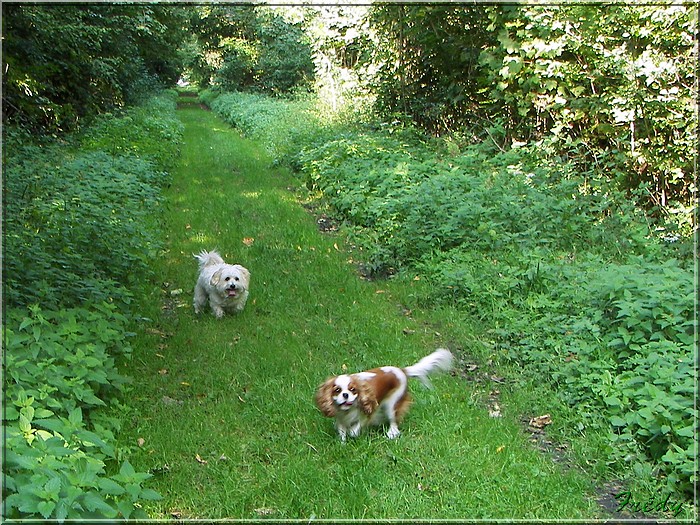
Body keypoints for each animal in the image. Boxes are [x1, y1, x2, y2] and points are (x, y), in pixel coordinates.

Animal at [314, 350, 454, 440]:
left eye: (353, 389)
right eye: (337, 390)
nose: (345, 394)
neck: (348, 410)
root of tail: (401, 370)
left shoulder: (368, 412)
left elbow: (356, 427)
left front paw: (352, 432)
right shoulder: (340, 417)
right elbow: (342, 430)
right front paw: (342, 442)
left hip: (393, 403)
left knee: (393, 420)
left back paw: (392, 433)